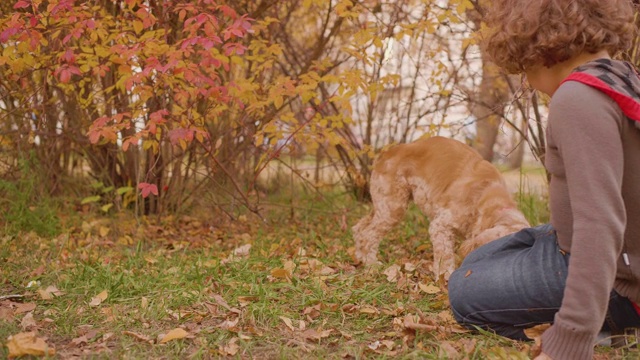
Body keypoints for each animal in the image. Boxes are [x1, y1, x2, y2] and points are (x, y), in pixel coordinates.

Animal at [350, 136, 528, 280]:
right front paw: (445, 279)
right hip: (392, 207)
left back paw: (360, 257)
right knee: (369, 234)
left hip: (383, 204)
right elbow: (445, 258)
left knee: (360, 227)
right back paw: (372, 265)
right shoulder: (440, 226)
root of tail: (388, 152)